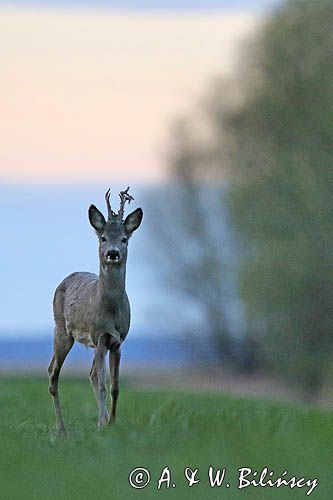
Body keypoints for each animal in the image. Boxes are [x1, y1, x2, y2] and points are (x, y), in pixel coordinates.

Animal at [47, 188, 142, 434]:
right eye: (103, 237)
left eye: (124, 238)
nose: (113, 253)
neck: (110, 311)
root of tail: (67, 277)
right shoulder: (99, 335)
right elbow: (102, 385)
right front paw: (101, 424)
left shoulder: (117, 341)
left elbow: (115, 386)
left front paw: (112, 423)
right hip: (62, 331)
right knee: (53, 372)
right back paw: (62, 429)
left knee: (89, 374)